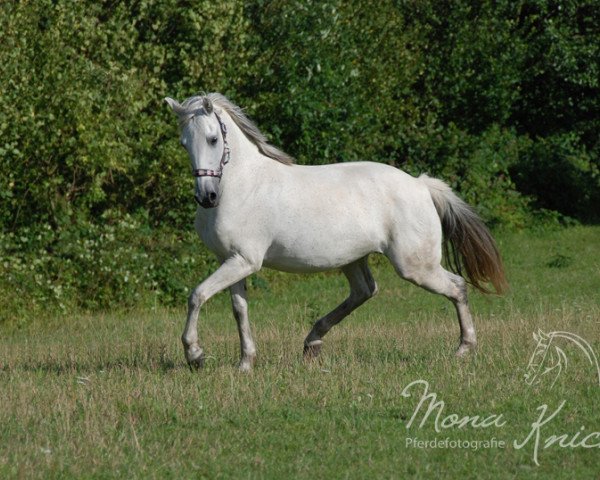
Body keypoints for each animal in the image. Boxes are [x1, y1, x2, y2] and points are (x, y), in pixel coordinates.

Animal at [164, 94, 506, 372]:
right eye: (183, 144)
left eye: (212, 139)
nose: (206, 197)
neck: (242, 185)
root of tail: (421, 185)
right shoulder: (233, 260)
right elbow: (239, 310)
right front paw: (245, 363)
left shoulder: (244, 260)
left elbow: (197, 296)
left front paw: (195, 356)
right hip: (354, 259)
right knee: (364, 291)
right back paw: (312, 344)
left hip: (416, 266)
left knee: (457, 287)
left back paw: (464, 348)